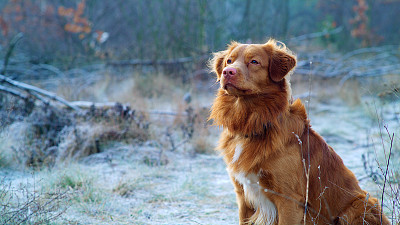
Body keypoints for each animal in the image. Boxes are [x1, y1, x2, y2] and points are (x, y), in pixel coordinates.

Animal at [208, 39, 390, 224]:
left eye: (254, 62)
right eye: (229, 61)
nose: (227, 72)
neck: (252, 124)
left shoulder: (288, 199)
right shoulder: (243, 196)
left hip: (359, 205)